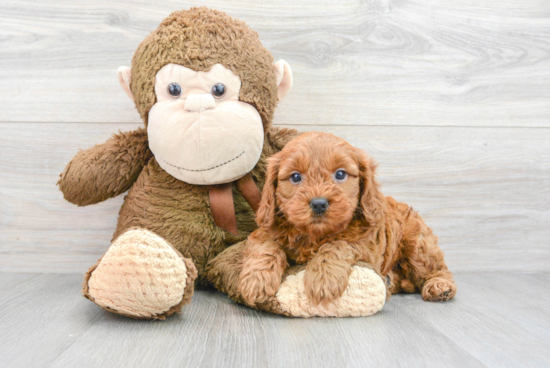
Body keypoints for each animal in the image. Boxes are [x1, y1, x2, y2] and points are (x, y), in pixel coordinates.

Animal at [239, 131, 460, 306]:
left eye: (340, 174)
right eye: (295, 177)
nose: (318, 203)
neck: (315, 235)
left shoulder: (366, 243)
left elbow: (337, 244)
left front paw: (323, 278)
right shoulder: (266, 228)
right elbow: (267, 246)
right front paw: (256, 281)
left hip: (417, 245)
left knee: (436, 268)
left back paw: (440, 285)